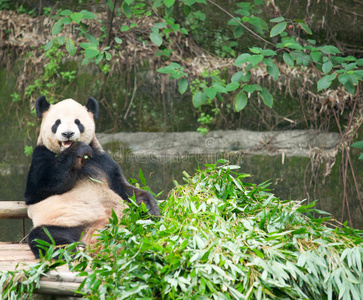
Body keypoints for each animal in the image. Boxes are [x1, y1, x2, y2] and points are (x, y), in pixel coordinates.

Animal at [24, 96, 161, 258]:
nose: (68, 134)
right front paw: (78, 149)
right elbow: (38, 189)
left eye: (78, 122)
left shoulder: (103, 162)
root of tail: (98, 233)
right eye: (57, 123)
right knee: (45, 237)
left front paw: (151, 207)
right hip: (66, 222)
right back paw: (75, 250)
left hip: (131, 220)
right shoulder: (41, 155)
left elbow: (123, 188)